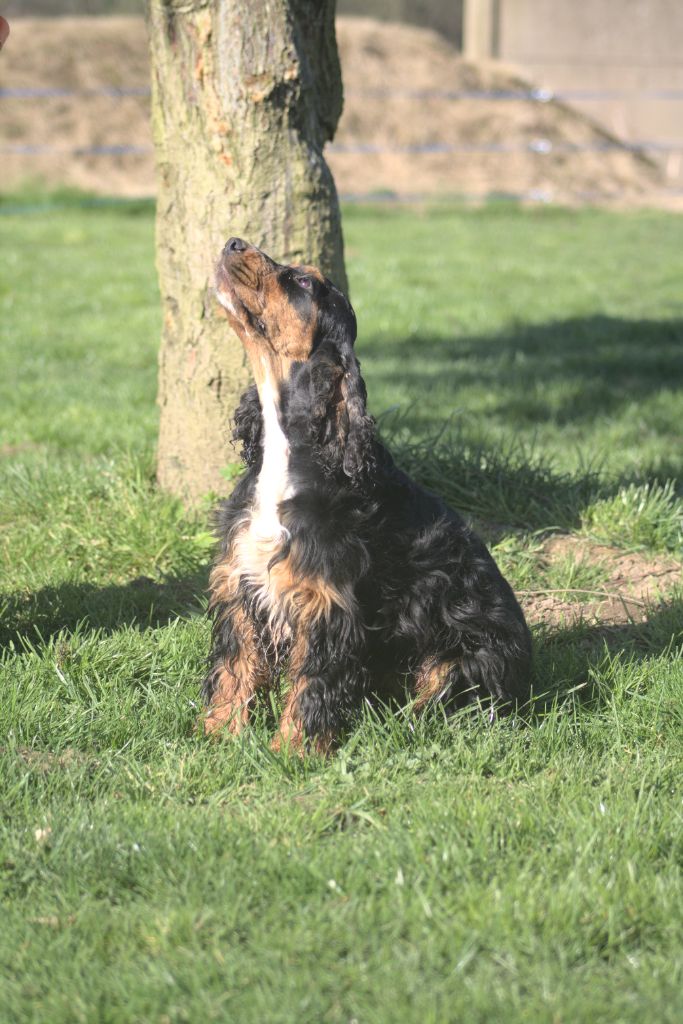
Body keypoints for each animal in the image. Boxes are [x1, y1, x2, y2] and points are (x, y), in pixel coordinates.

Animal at [200, 237, 532, 753]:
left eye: (303, 280)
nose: (235, 242)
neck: (292, 450)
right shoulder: (241, 583)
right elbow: (234, 668)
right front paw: (217, 735)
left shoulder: (324, 600)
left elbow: (312, 681)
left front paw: (293, 750)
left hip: (466, 660)